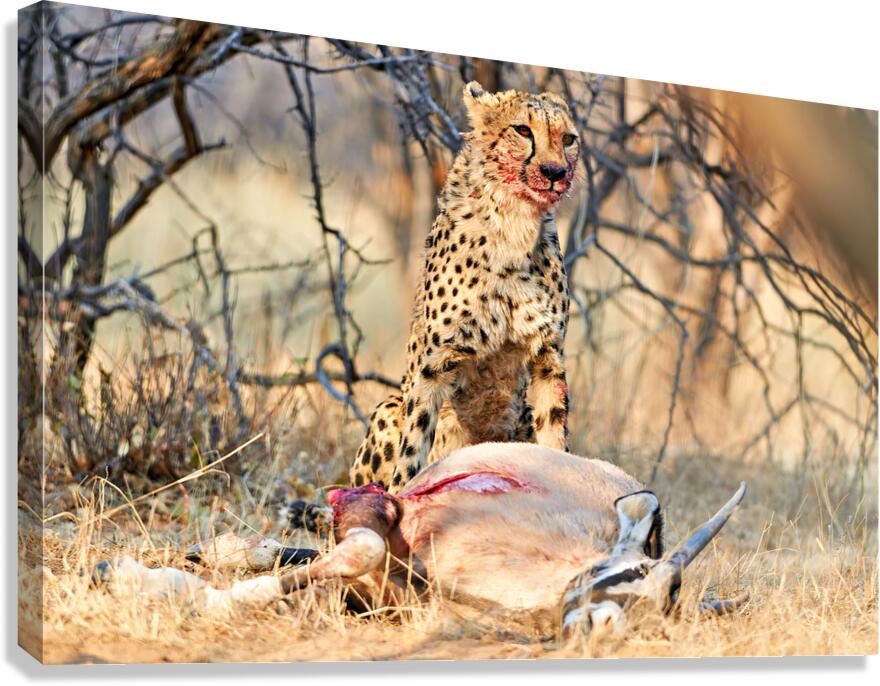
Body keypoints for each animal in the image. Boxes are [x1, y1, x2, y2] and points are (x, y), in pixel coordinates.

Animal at [285, 81, 581, 529]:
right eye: (522, 131)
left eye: (568, 140)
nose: (555, 173)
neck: (515, 222)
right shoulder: (433, 365)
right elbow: (411, 453)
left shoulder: (548, 358)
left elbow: (554, 438)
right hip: (386, 408)